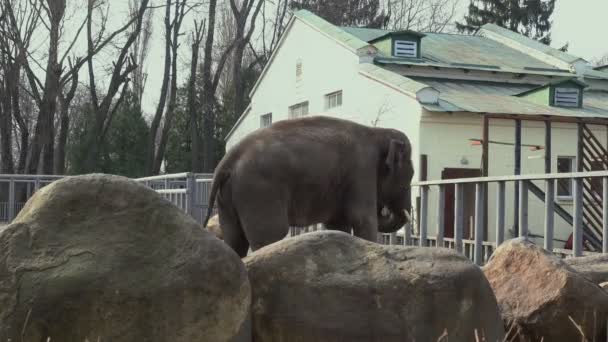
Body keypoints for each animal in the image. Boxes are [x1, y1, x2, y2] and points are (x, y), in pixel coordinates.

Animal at [203, 115, 414, 256]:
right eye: (410, 175)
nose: (384, 208)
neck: (378, 132)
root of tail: (228, 160)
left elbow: (338, 224)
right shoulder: (362, 171)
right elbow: (363, 219)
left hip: (228, 198)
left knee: (235, 239)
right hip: (258, 191)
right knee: (270, 235)